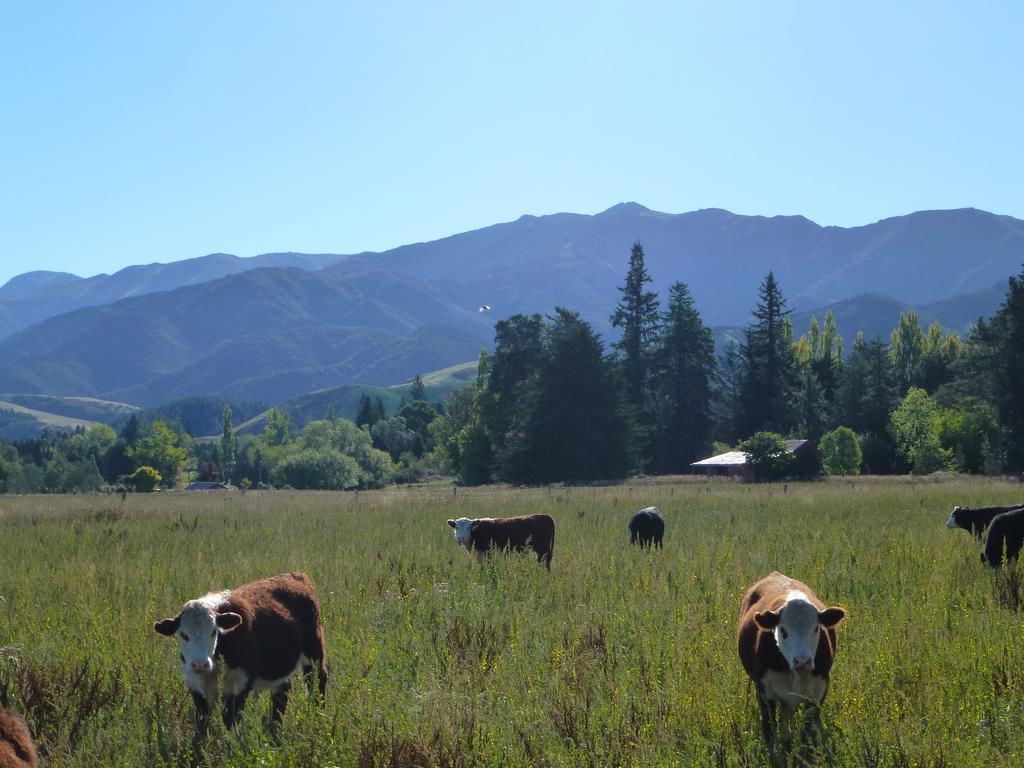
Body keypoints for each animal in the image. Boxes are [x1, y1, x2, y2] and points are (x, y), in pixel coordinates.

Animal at [153, 573, 327, 733]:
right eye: (183, 635)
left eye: (214, 632)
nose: (200, 664)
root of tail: (295, 575)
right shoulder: (196, 685)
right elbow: (202, 723)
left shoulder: (239, 683)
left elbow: (230, 721)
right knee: (281, 693)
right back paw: (275, 729)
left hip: (314, 652)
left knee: (318, 681)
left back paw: (318, 716)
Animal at [737, 573, 847, 749]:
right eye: (783, 630)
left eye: (816, 628)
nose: (802, 661)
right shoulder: (764, 693)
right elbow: (769, 731)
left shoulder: (818, 692)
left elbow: (806, 732)